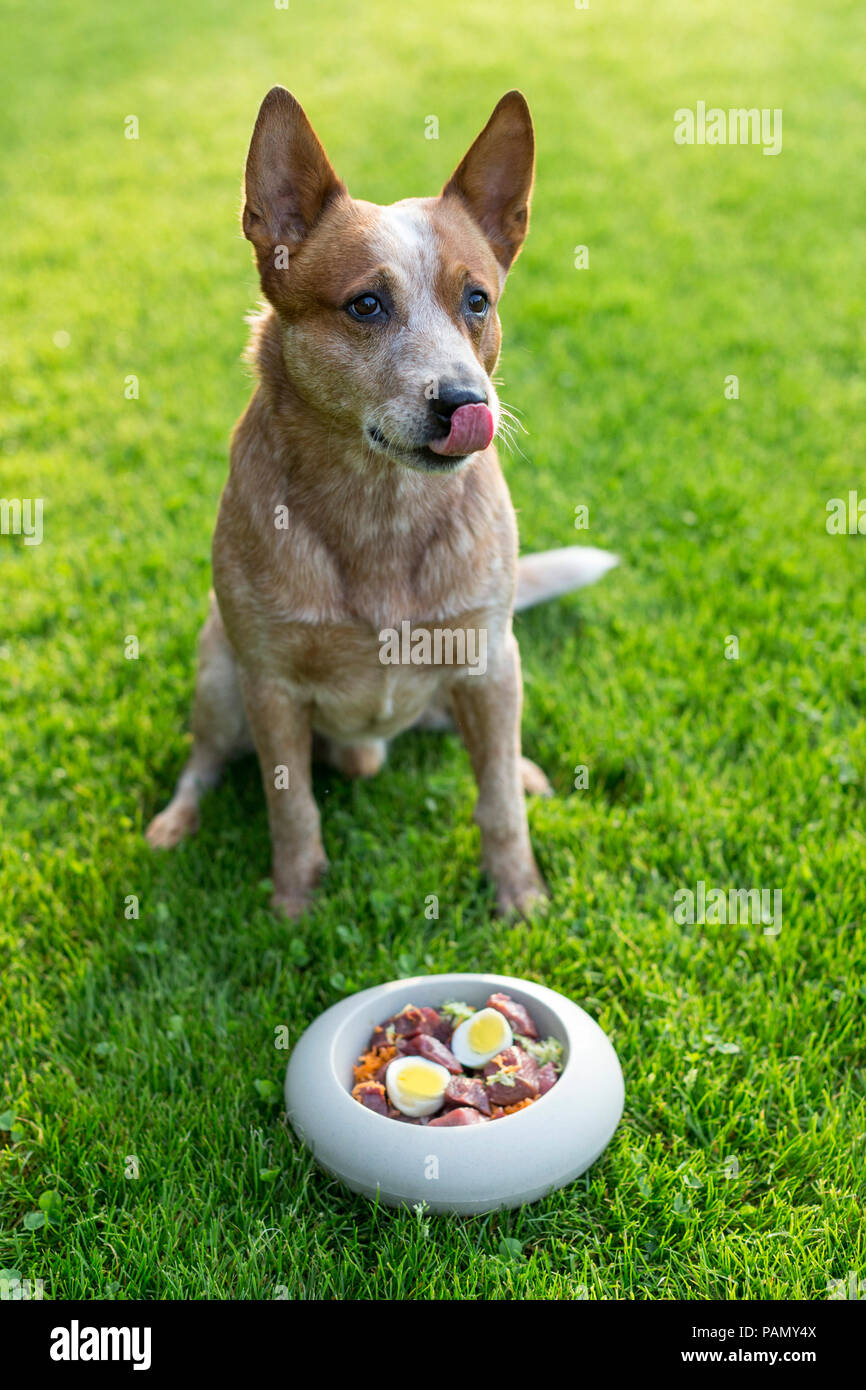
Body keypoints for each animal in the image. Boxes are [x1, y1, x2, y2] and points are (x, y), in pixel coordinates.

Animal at [145, 81, 617, 917]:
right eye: (365, 305)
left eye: (477, 300)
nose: (466, 402)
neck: (382, 513)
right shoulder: (269, 686)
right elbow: (291, 804)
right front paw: (292, 907)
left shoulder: (487, 659)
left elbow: (496, 798)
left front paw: (519, 894)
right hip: (218, 676)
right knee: (202, 762)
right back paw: (178, 820)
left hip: (486, 672)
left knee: (487, 747)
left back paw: (525, 770)